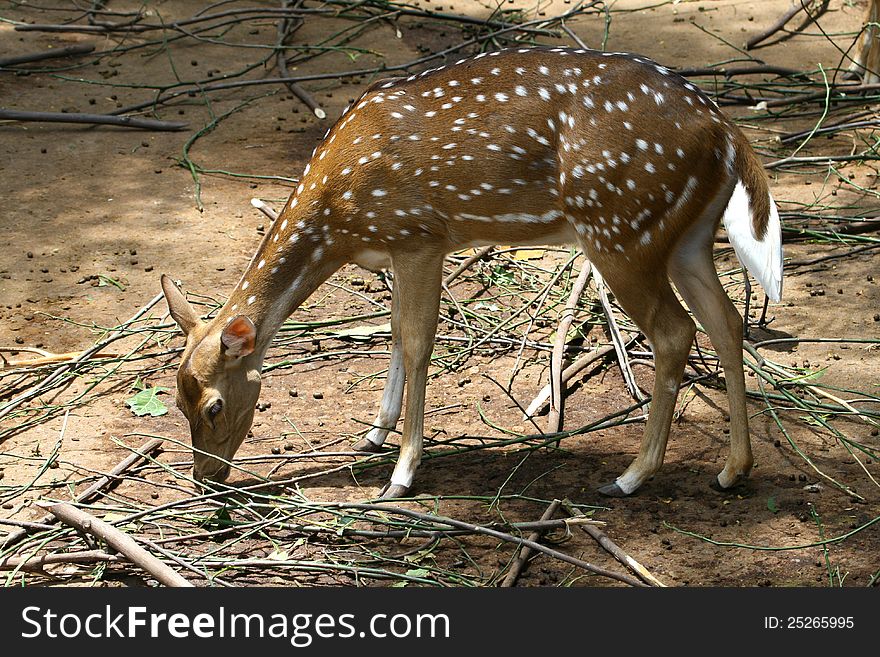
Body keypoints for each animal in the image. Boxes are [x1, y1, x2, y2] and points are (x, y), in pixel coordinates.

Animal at [162, 46, 780, 498]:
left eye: (214, 405)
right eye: (176, 400)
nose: (204, 477)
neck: (341, 221)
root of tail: (727, 133)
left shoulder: (419, 235)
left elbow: (416, 341)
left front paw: (402, 473)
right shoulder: (399, 249)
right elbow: (393, 334)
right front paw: (374, 433)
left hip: (620, 230)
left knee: (676, 331)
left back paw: (630, 477)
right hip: (685, 238)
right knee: (726, 321)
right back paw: (734, 469)